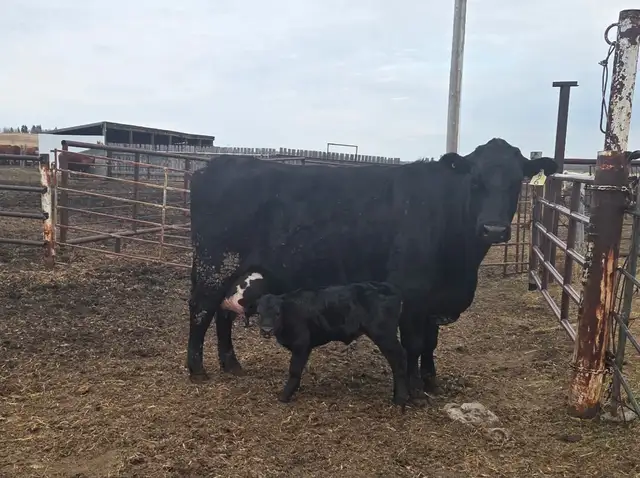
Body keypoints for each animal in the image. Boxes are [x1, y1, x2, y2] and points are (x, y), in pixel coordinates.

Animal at [256, 281, 406, 406]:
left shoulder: (301, 344)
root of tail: (387, 287)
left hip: (384, 336)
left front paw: (284, 396)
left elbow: (294, 370)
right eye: (259, 313)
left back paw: (399, 399)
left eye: (277, 313)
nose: (266, 330)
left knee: (399, 360)